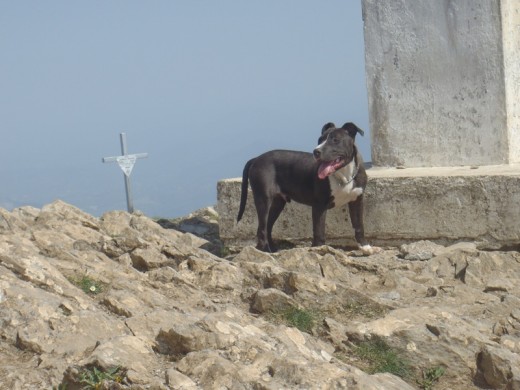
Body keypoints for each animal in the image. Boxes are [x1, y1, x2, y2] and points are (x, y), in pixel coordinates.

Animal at [236, 123, 374, 254]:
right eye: (319, 140)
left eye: (335, 140)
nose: (316, 151)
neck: (344, 175)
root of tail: (256, 158)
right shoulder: (319, 205)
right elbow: (319, 230)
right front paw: (319, 249)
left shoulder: (357, 200)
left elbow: (359, 225)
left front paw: (365, 246)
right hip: (263, 199)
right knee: (262, 228)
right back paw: (265, 250)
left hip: (277, 203)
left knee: (268, 226)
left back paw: (272, 249)